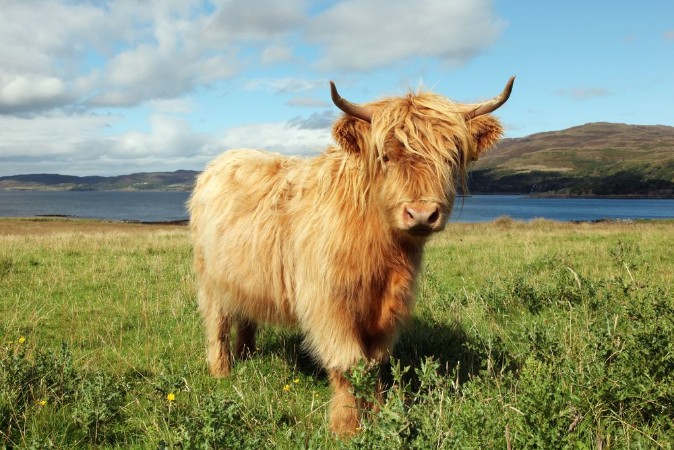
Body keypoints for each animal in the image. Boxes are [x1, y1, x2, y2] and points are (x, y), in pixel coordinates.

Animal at [188, 77, 514, 435]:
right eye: (385, 156)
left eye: (451, 157)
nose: (421, 214)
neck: (383, 254)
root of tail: (222, 160)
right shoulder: (328, 303)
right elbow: (348, 362)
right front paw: (346, 426)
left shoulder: (389, 306)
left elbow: (374, 363)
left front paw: (378, 412)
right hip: (209, 278)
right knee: (218, 323)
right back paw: (222, 372)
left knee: (246, 316)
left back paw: (247, 356)